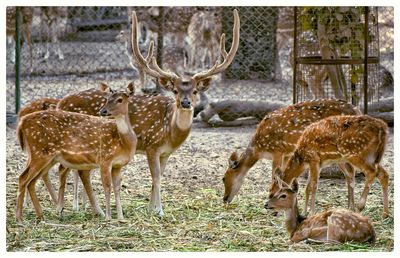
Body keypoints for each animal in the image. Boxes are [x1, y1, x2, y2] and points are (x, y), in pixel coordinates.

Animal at [15, 85, 137, 222]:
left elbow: (117, 188)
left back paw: (40, 216)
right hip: (39, 152)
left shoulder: (118, 165)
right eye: (107, 99)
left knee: (32, 181)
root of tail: (21, 122)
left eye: (120, 100)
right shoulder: (104, 159)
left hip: (47, 157)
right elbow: (107, 186)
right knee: (23, 178)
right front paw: (108, 217)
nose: (103, 111)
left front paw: (121, 217)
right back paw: (19, 218)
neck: (124, 143)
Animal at [223, 99, 360, 206]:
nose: (225, 199)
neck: (259, 149)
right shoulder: (287, 153)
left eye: (223, 178)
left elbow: (274, 175)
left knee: (352, 171)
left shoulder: (277, 151)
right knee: (350, 173)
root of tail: (357, 110)